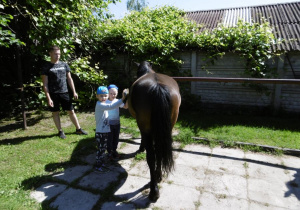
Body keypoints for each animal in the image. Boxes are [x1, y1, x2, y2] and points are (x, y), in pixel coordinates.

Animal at [126, 60, 180, 200]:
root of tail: (157, 86)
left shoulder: (142, 127)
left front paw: (141, 148)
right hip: (168, 127)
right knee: (159, 151)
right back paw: (158, 176)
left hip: (146, 128)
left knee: (151, 157)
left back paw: (153, 191)